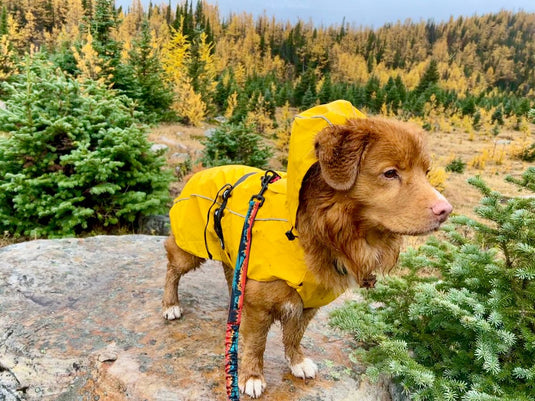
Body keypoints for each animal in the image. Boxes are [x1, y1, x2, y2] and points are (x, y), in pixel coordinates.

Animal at [162, 101, 452, 396]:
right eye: (390, 173)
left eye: (426, 173)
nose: (445, 210)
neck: (321, 233)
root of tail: (199, 172)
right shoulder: (261, 304)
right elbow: (256, 343)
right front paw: (251, 376)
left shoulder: (309, 302)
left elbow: (294, 335)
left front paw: (297, 362)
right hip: (190, 250)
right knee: (172, 268)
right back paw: (171, 304)